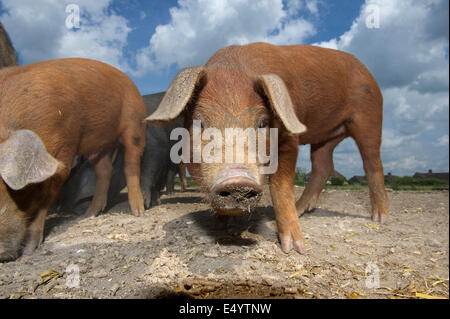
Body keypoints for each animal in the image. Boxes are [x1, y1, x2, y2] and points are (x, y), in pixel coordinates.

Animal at [0, 58, 146, 262]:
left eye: (14, 189)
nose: (2, 254)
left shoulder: (64, 149)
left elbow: (46, 199)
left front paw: (28, 253)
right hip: (97, 147)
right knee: (105, 171)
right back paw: (88, 215)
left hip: (135, 124)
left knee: (131, 164)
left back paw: (138, 212)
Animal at [146, 42, 388, 255]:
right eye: (200, 123)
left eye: (262, 123)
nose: (237, 180)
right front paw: (217, 225)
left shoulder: (290, 139)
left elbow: (281, 189)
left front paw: (294, 248)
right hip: (325, 138)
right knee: (324, 165)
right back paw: (303, 208)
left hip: (369, 115)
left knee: (372, 162)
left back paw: (380, 217)